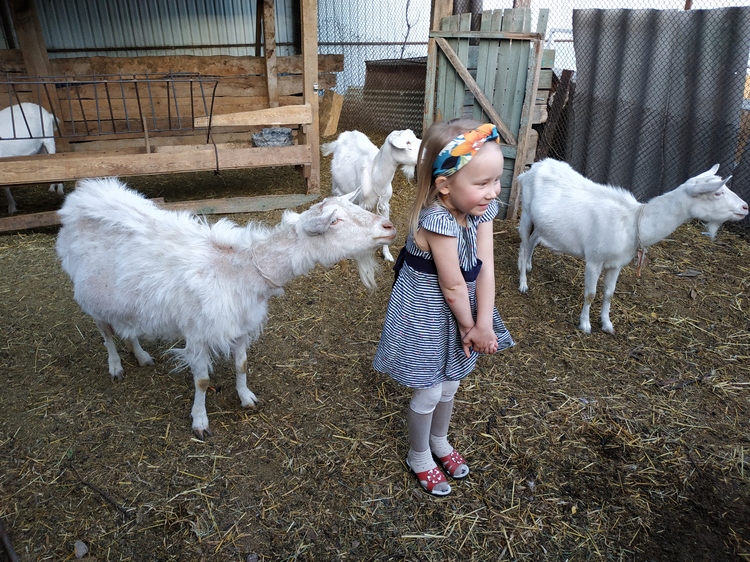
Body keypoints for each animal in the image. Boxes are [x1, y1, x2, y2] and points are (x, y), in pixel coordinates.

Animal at [57, 177, 400, 436]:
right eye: (335, 221)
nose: (388, 227)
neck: (238, 269)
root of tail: (80, 198)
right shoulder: (197, 333)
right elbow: (202, 380)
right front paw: (199, 420)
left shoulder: (241, 325)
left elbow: (242, 365)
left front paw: (246, 397)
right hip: (92, 297)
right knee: (106, 333)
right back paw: (116, 366)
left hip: (126, 300)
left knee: (128, 328)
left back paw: (141, 356)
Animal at [320, 129, 420, 260]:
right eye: (407, 142)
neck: (377, 179)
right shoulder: (362, 204)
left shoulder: (385, 204)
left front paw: (387, 254)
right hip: (335, 183)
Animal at [520, 158, 748, 332]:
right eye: (717, 193)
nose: (745, 207)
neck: (634, 221)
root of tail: (532, 168)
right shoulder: (594, 260)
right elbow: (590, 294)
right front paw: (585, 326)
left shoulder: (616, 264)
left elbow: (609, 293)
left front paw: (607, 324)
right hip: (526, 212)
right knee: (523, 244)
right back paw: (523, 281)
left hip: (543, 223)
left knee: (533, 240)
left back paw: (530, 265)